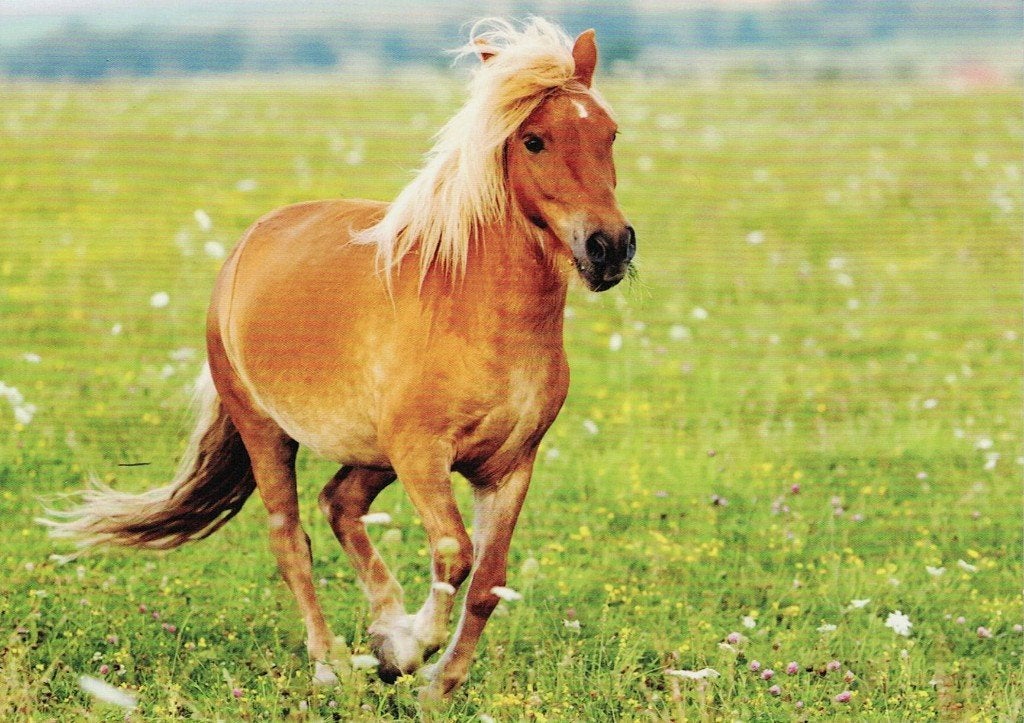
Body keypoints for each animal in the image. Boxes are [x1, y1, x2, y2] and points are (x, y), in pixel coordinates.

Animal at [42, 17, 635, 698]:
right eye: (534, 140)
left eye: (609, 133)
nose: (609, 246)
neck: (477, 310)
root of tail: (248, 244)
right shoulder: (422, 454)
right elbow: (454, 554)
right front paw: (409, 650)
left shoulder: (509, 465)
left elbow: (488, 582)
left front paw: (435, 683)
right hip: (269, 431)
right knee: (290, 538)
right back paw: (332, 663)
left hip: (372, 452)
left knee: (340, 504)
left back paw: (380, 628)